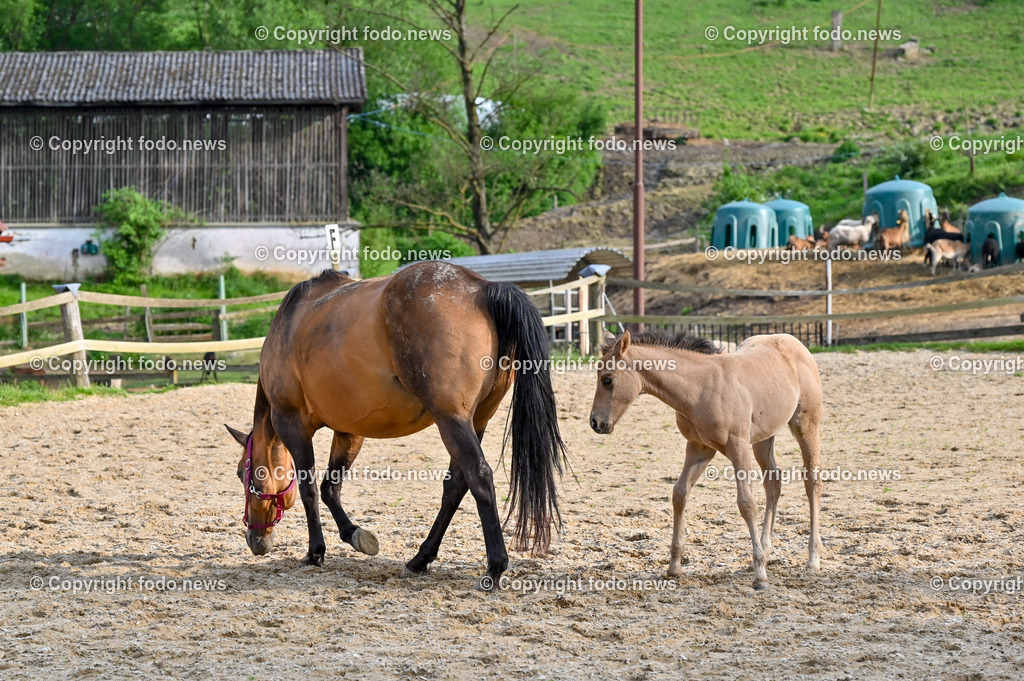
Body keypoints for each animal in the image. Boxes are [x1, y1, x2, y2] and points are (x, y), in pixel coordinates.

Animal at [226, 262, 567, 588]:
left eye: (243, 473)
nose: (255, 540)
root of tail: (482, 288)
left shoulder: (291, 422)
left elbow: (309, 488)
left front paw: (315, 552)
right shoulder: (349, 430)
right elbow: (330, 488)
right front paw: (354, 534)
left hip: (452, 420)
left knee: (479, 477)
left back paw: (495, 567)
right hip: (477, 419)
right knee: (456, 485)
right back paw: (420, 559)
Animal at [589, 331, 824, 590]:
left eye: (607, 379)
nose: (595, 423)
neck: (700, 388)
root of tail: (792, 341)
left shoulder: (737, 446)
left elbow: (746, 503)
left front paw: (760, 576)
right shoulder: (699, 448)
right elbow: (679, 493)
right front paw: (674, 567)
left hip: (806, 425)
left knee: (812, 481)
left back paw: (812, 559)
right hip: (764, 438)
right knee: (773, 481)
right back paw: (766, 549)